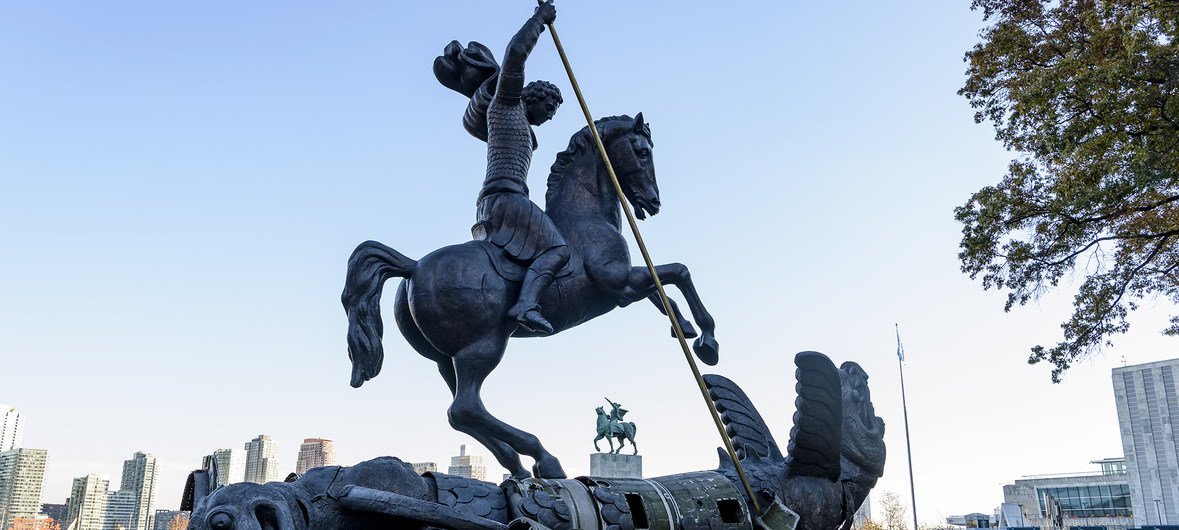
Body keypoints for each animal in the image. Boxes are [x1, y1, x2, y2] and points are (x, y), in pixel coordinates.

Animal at [341, 116, 716, 480]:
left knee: (464, 412)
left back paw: (519, 466)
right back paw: (543, 458)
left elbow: (662, 293)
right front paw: (707, 341)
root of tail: (413, 266)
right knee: (464, 408)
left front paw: (683, 327)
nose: (653, 202)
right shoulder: (619, 281)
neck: (586, 215)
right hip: (484, 345)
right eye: (642, 152)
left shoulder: (624, 289)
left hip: (445, 359)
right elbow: (677, 273)